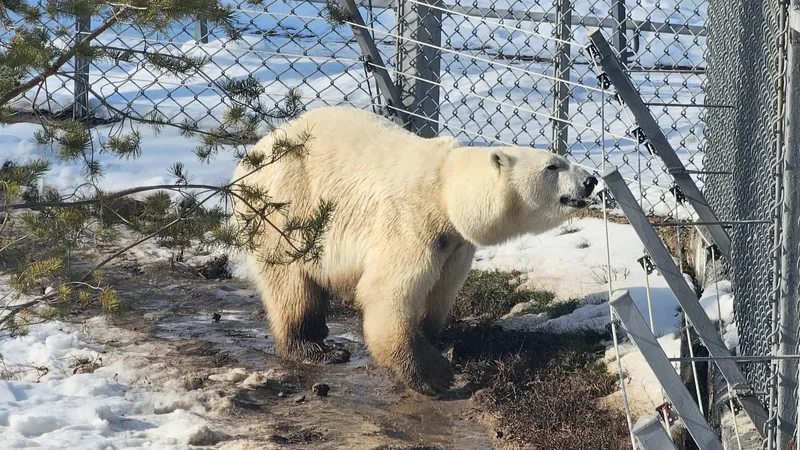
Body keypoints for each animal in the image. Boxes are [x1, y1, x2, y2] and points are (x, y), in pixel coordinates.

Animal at [228, 105, 596, 394]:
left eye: (563, 159)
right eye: (552, 166)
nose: (590, 180)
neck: (445, 190)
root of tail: (249, 158)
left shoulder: (454, 245)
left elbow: (439, 292)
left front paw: (435, 342)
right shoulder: (411, 224)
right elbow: (387, 293)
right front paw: (433, 374)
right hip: (284, 210)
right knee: (290, 283)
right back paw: (315, 347)